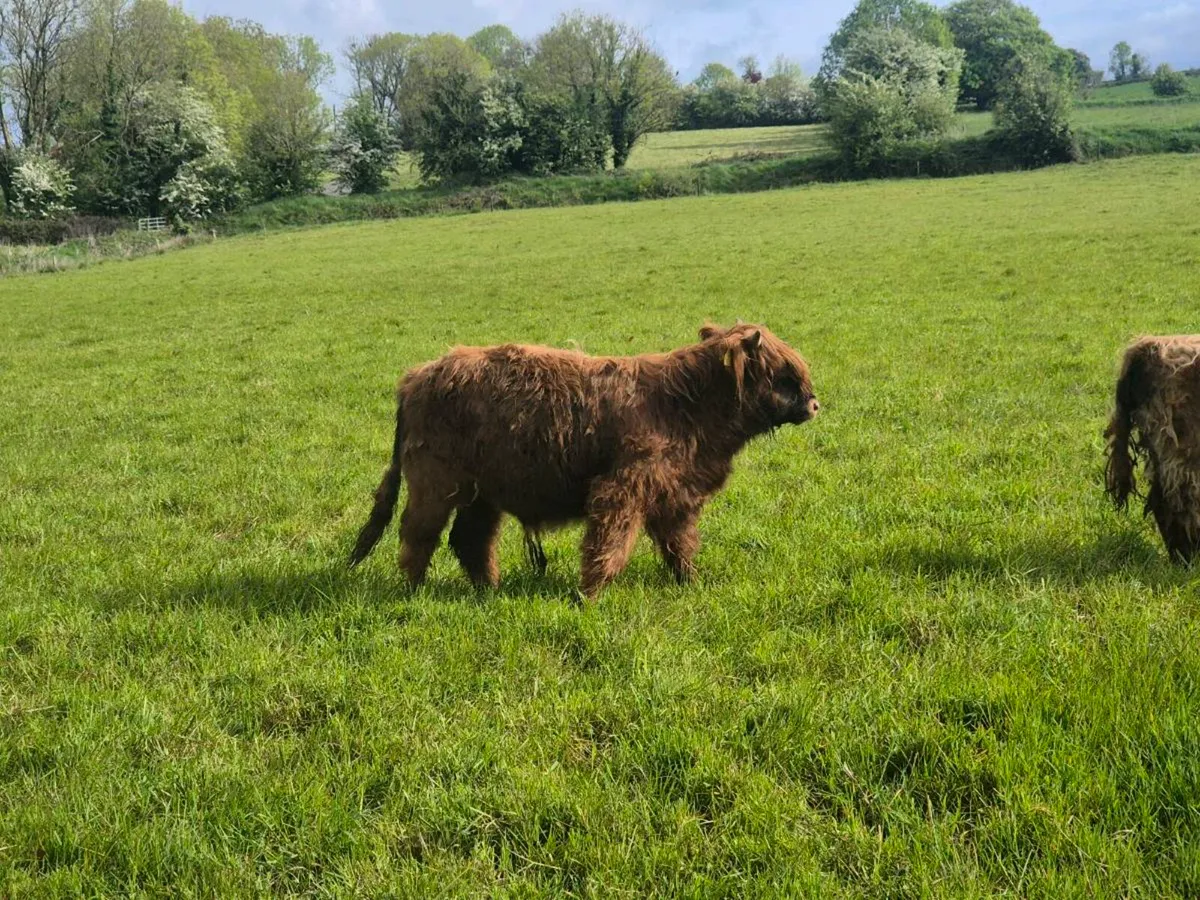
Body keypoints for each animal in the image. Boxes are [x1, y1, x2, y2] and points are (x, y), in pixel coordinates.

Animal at [349, 322, 820, 596]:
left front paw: (690, 582)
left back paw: (489, 589)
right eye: (784, 376)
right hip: (436, 483)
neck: (685, 404)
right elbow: (610, 542)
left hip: (483, 493)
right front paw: (590, 593)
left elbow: (679, 543)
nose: (814, 404)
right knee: (419, 534)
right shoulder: (621, 488)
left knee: (470, 539)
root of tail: (417, 376)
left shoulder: (675, 494)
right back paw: (414, 588)